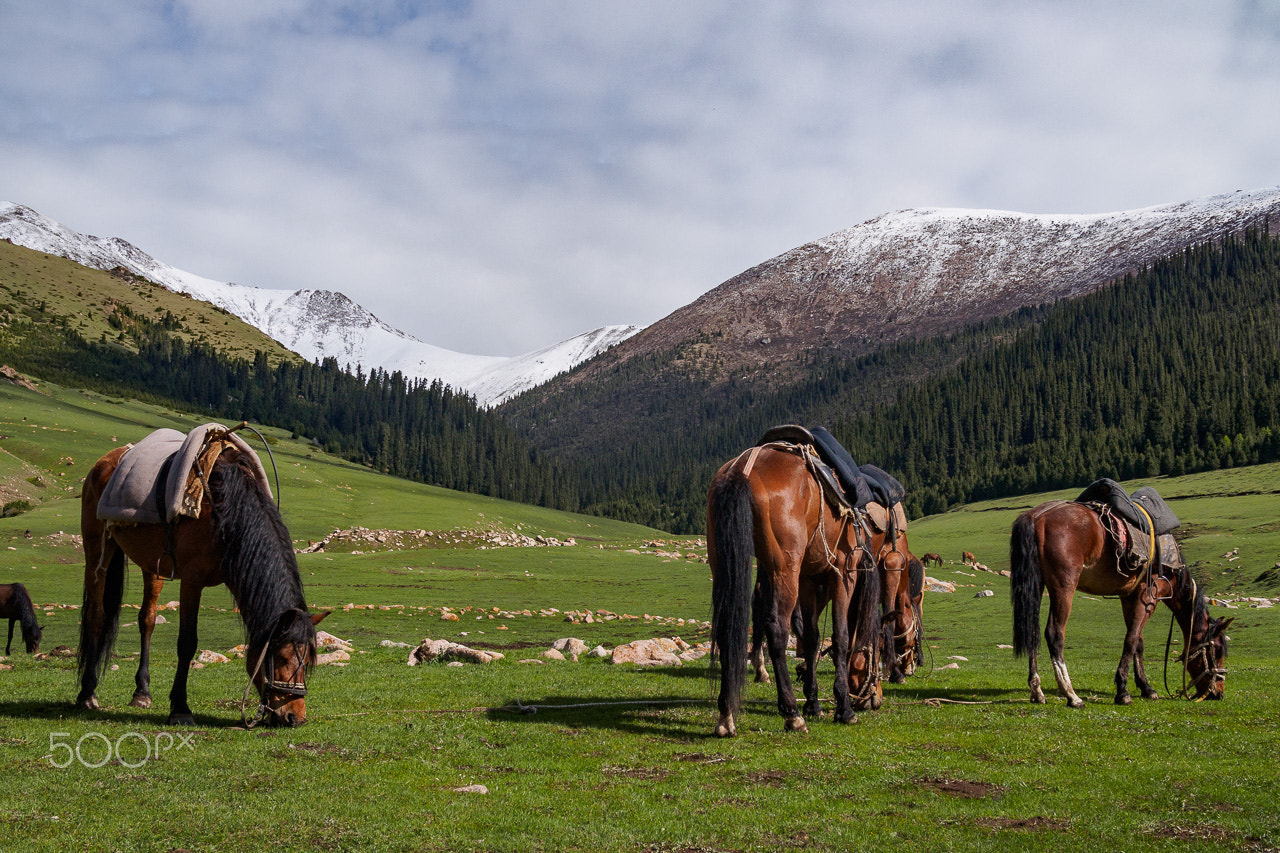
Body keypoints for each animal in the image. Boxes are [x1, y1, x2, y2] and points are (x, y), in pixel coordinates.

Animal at [77, 425, 327, 722]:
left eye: (308, 660)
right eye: (282, 657)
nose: (294, 717)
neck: (227, 516)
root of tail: (104, 462)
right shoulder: (192, 581)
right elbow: (187, 642)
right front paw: (180, 708)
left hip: (153, 564)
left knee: (147, 619)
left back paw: (142, 692)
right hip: (97, 549)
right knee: (96, 614)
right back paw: (87, 693)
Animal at [706, 440, 885, 732]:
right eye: (879, 647)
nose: (875, 699)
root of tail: (743, 470)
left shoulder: (808, 580)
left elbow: (811, 639)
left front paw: (814, 703)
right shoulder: (844, 574)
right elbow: (841, 637)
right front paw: (844, 708)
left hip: (724, 563)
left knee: (725, 629)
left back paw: (726, 714)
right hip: (784, 568)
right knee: (776, 627)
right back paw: (791, 713)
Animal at [1008, 494, 1228, 701]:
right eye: (1217, 651)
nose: (1218, 692)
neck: (1172, 570)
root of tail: (1035, 517)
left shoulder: (1129, 597)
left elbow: (1138, 642)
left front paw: (1146, 687)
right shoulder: (1149, 598)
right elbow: (1131, 640)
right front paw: (1123, 690)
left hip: (1037, 584)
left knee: (1032, 631)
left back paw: (1037, 692)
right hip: (1064, 587)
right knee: (1054, 633)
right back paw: (1072, 695)